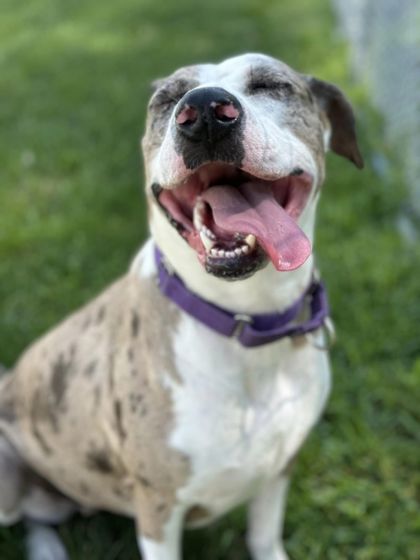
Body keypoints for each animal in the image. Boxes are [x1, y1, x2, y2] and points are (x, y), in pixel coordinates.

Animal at [0, 53, 360, 560]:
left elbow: (264, 536)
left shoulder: (280, 467)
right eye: (167, 99)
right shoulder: (158, 509)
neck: (247, 324)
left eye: (272, 85)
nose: (205, 111)